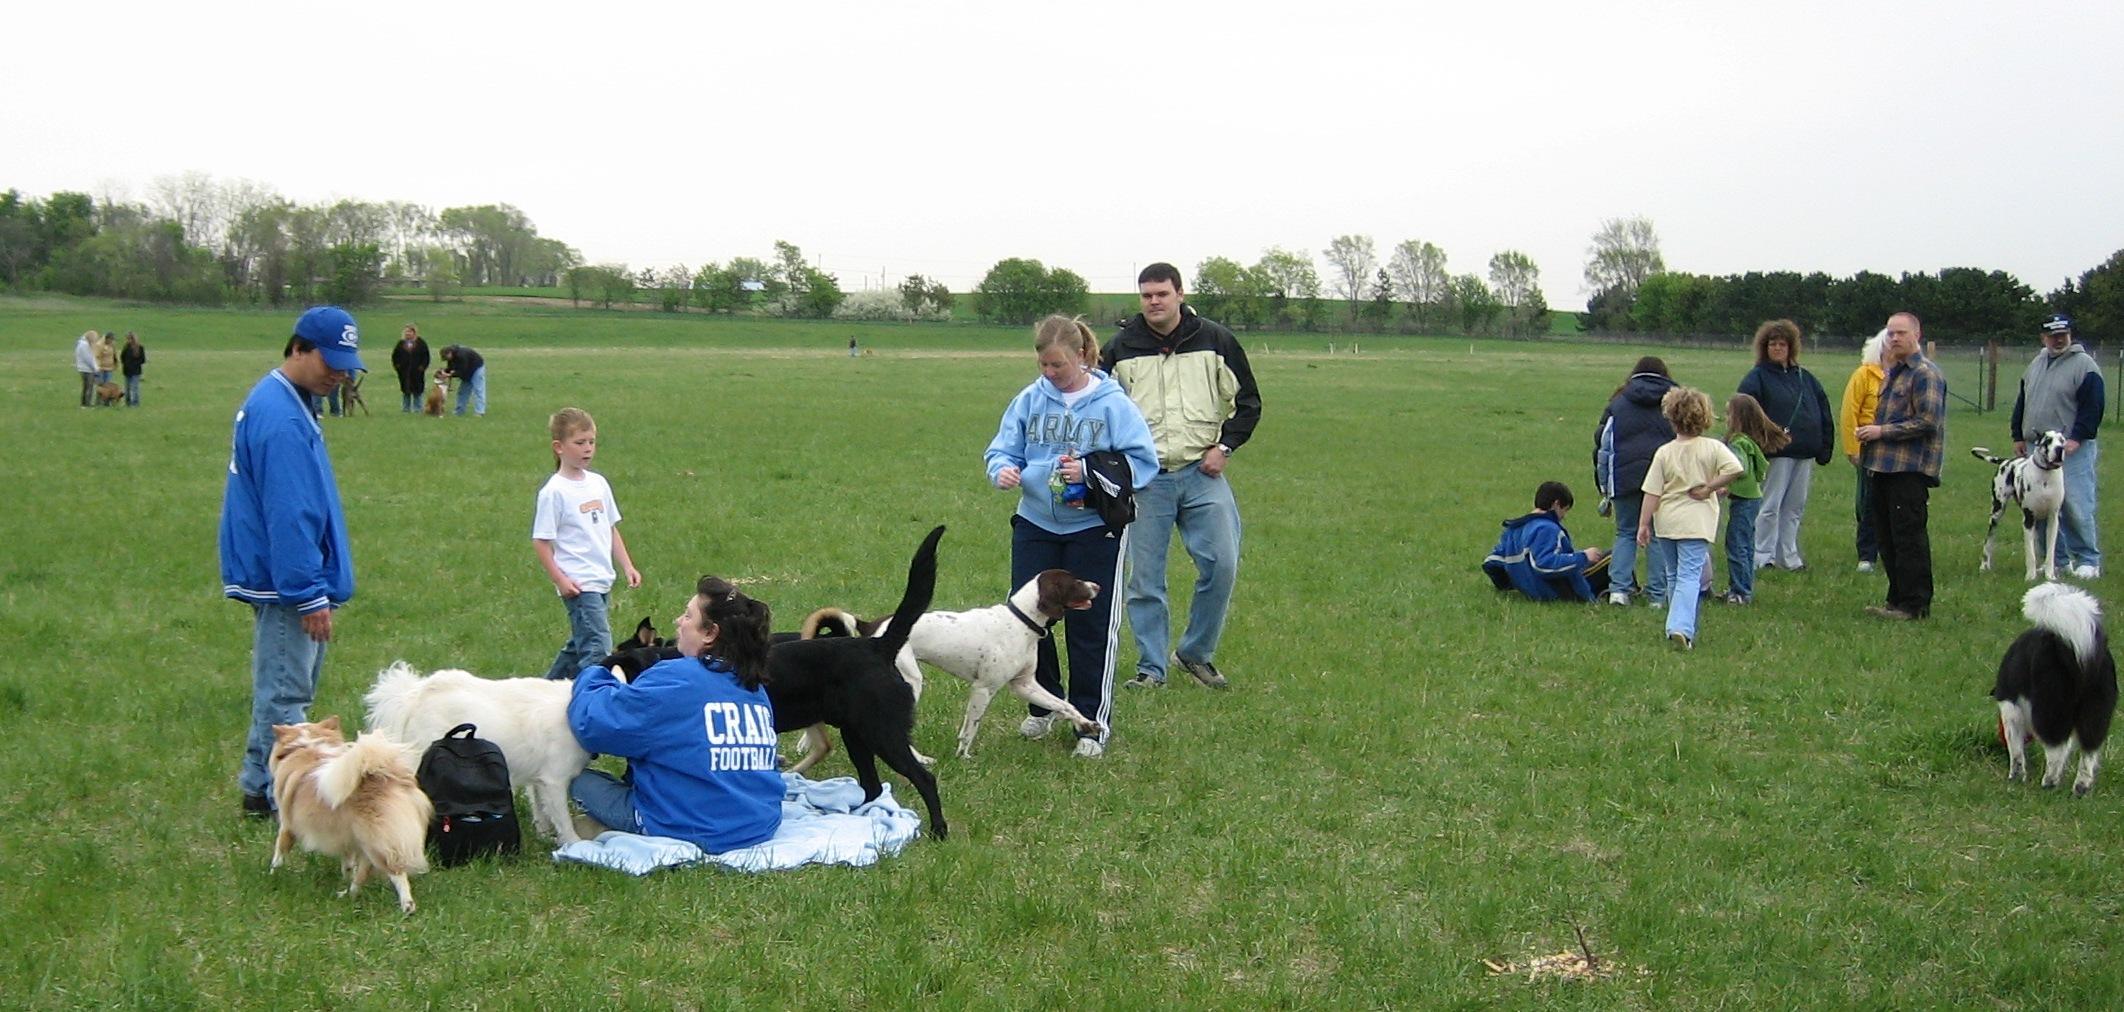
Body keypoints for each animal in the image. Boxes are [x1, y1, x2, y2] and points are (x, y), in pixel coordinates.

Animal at [265, 710, 431, 918]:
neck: (308, 746)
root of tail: (386, 777)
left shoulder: (287, 825)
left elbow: (279, 852)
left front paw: (273, 874)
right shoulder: (346, 838)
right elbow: (348, 864)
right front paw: (345, 877)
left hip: (379, 843)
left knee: (397, 873)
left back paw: (407, 906)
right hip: (367, 843)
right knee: (362, 875)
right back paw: (348, 895)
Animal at [358, 663, 586, 846]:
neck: (574, 709)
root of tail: (415, 695)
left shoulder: (539, 780)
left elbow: (541, 812)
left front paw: (544, 838)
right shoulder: (554, 781)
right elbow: (563, 819)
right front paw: (574, 844)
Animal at [1996, 582, 2115, 795]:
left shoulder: (2011, 710)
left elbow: (2015, 749)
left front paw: (2016, 777)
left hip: (2050, 707)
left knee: (2055, 748)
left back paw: (2049, 783)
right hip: (2096, 710)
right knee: (2089, 750)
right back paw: (2080, 788)